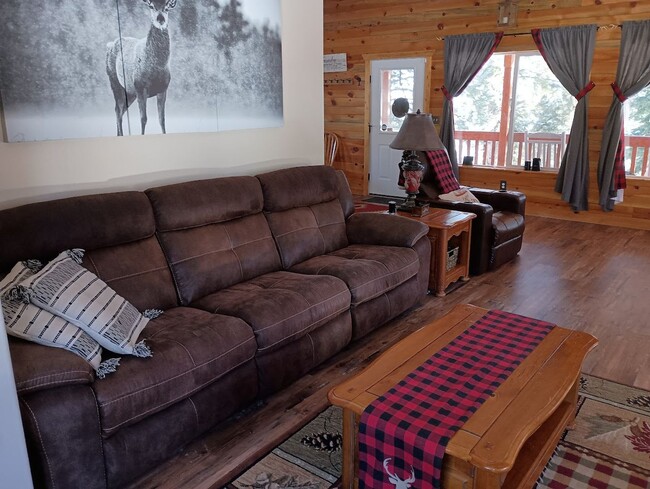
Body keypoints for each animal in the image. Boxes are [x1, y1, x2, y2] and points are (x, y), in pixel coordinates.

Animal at [106, 0, 177, 134]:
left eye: (167, 7)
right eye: (152, 6)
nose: (161, 19)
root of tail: (110, 45)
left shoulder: (163, 88)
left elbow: (162, 119)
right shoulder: (140, 86)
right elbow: (143, 118)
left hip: (130, 91)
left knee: (121, 110)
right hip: (114, 81)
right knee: (118, 110)